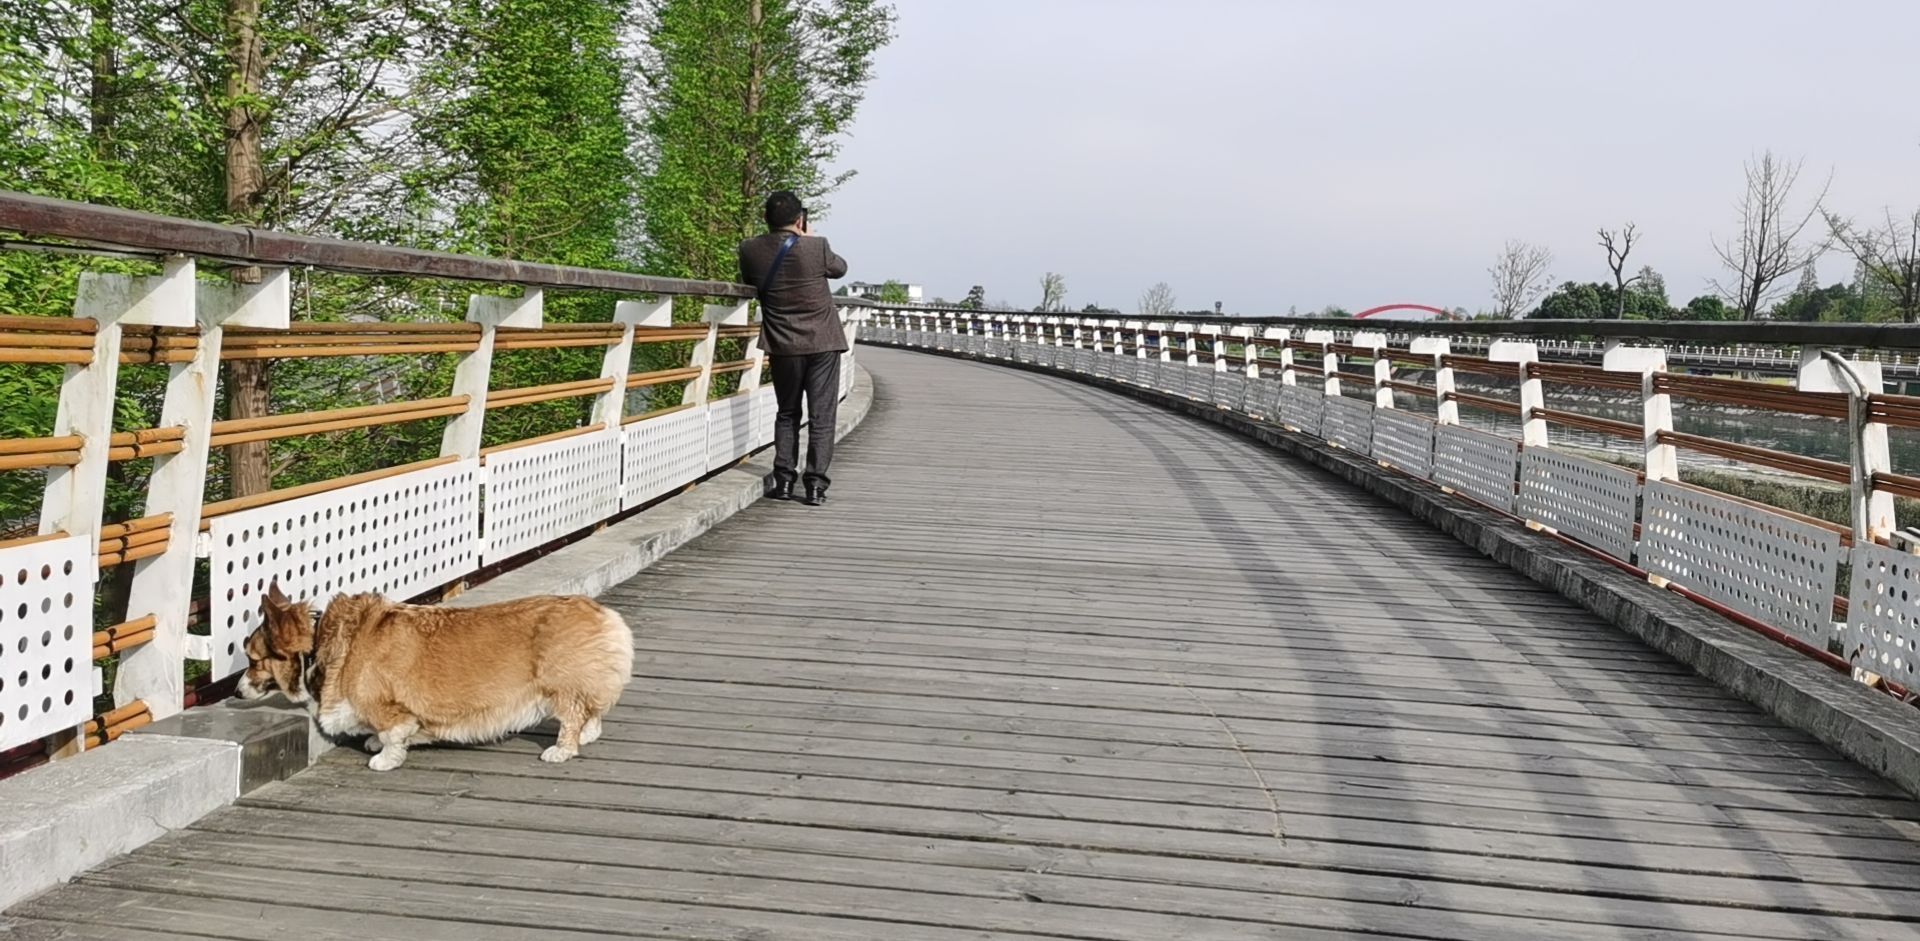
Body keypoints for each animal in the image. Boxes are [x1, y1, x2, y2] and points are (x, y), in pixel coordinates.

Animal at [236, 579, 633, 772]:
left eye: (253, 660)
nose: (237, 693)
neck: (322, 642)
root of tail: (603, 614)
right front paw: (374, 743)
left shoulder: (389, 710)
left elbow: (392, 735)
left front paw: (383, 759)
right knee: (592, 712)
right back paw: (588, 737)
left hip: (560, 686)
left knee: (573, 716)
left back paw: (561, 751)